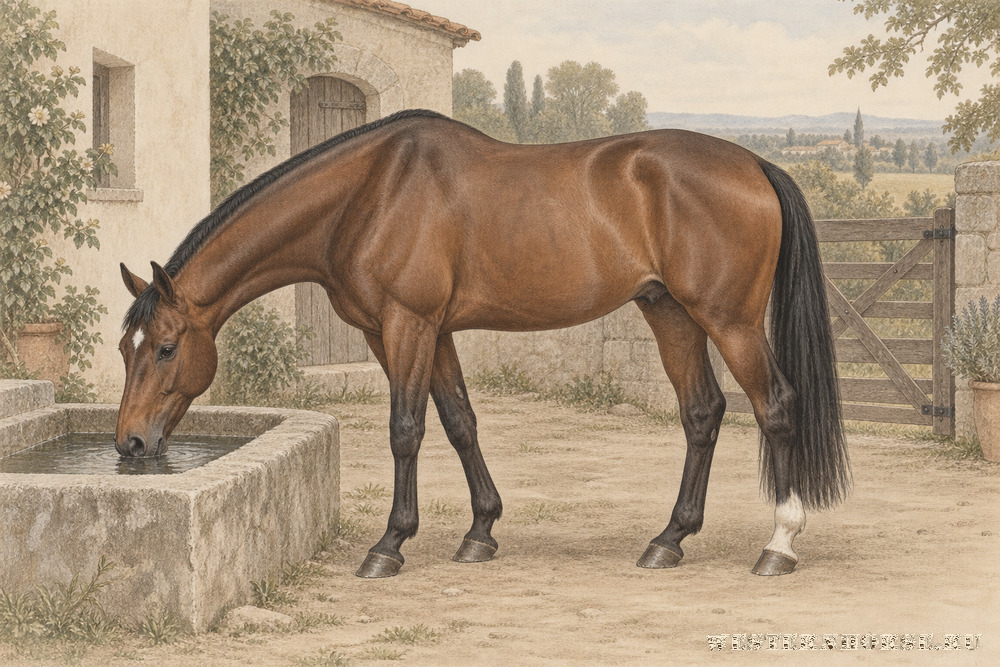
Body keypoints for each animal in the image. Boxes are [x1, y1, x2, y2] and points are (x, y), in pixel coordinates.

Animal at [116, 109, 850, 579]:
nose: (129, 443)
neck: (369, 192)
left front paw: (390, 543)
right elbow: (460, 421)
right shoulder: (432, 331)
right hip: (669, 312)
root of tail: (753, 162)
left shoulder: (404, 325)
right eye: (126, 347)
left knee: (776, 407)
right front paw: (481, 531)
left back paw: (779, 545)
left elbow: (406, 429)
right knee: (702, 413)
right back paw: (668, 539)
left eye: (166, 348)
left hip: (729, 321)